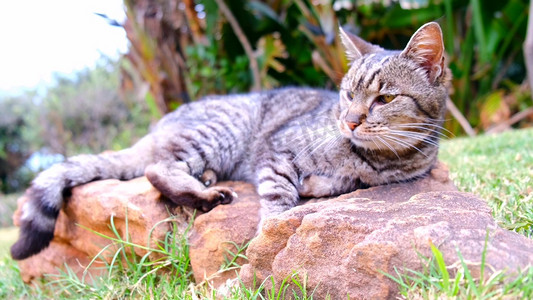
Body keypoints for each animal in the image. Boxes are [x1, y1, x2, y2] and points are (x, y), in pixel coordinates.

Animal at [10, 21, 448, 260]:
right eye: (347, 94)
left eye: (384, 99)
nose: (350, 121)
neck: (378, 158)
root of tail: (158, 125)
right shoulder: (275, 151)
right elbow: (277, 201)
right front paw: (271, 233)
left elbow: (340, 182)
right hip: (221, 131)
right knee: (157, 167)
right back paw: (204, 194)